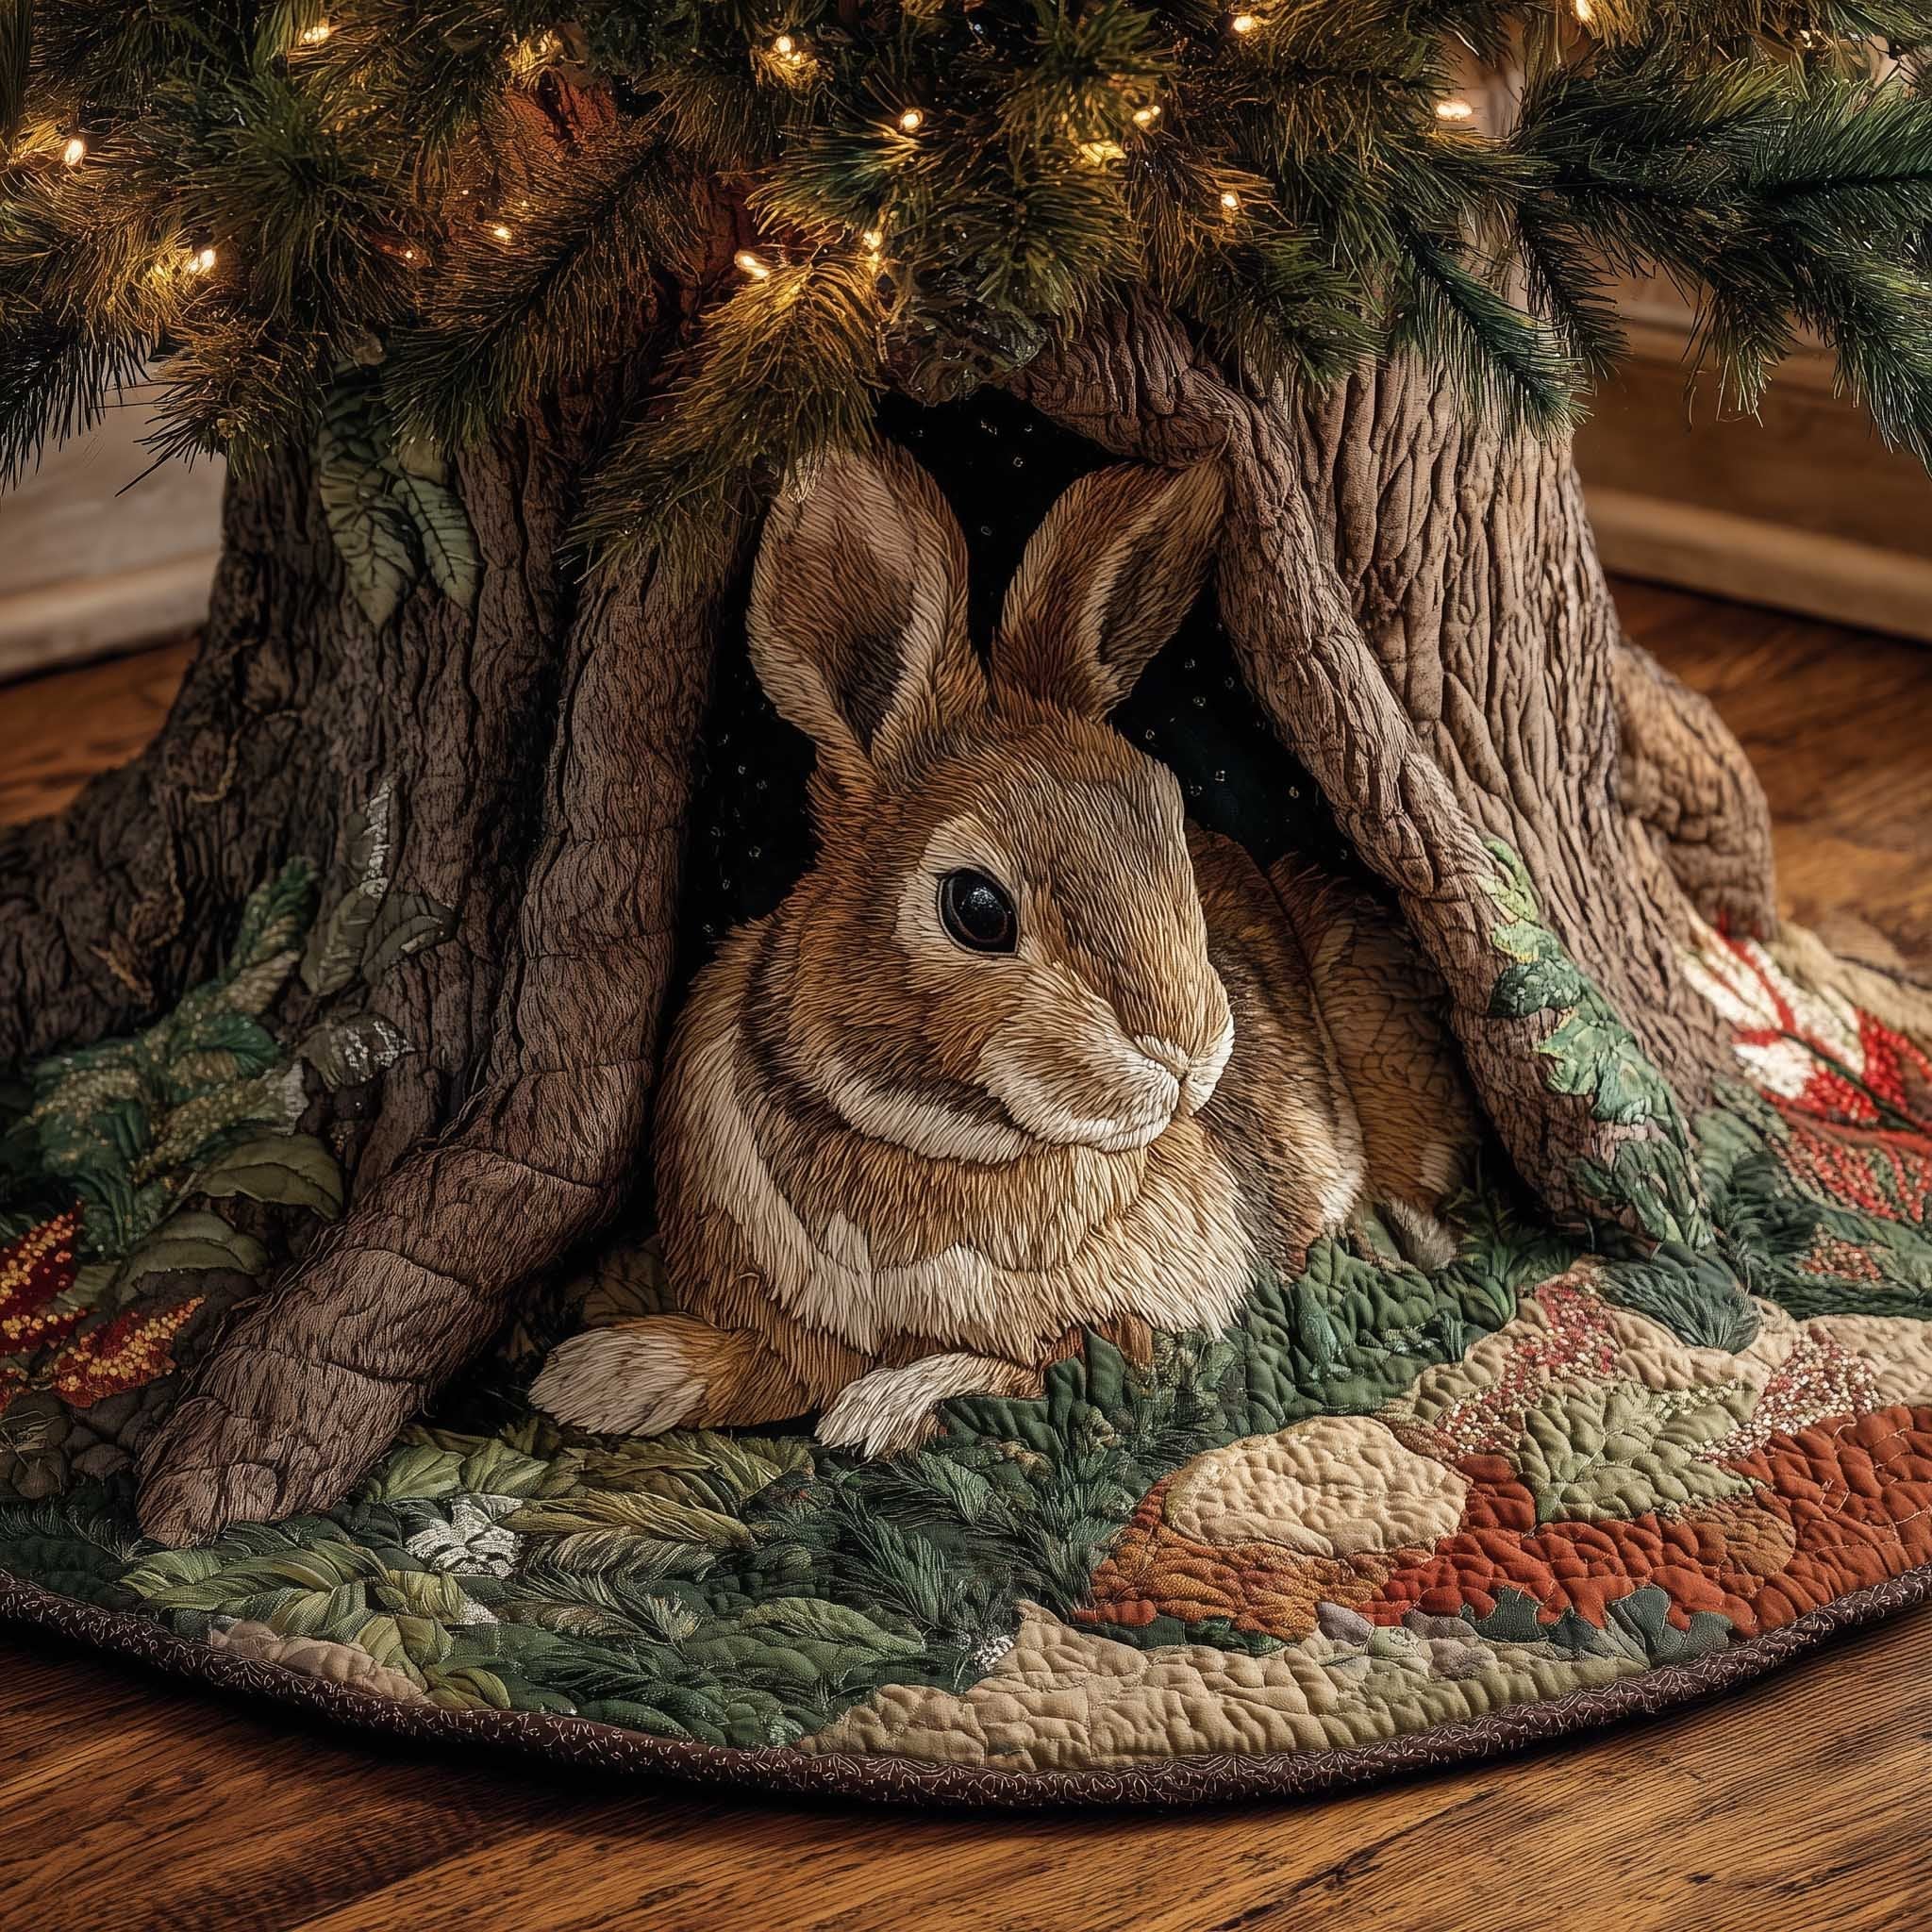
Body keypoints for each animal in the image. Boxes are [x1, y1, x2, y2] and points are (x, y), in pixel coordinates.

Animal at [532, 444, 1476, 1457]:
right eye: (977, 908)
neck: (929, 1143)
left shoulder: (1159, 1322)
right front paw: (604, 1375)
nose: (1186, 1053)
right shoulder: (790, 1325)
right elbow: (750, 1363)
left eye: (1174, 831)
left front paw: (885, 1409)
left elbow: (1060, 1363)